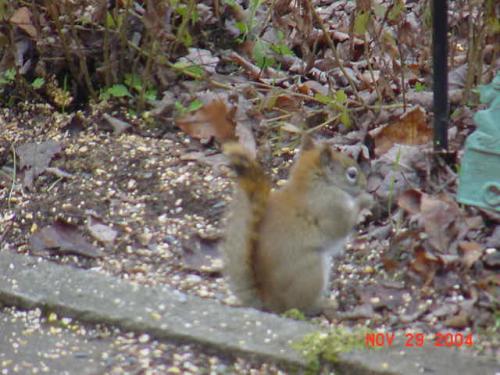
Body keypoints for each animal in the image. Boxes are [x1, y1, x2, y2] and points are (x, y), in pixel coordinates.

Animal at [221, 136, 374, 318]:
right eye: (351, 174)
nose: (365, 184)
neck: (316, 182)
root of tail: (272, 303)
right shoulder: (331, 207)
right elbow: (343, 225)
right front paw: (366, 199)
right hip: (311, 272)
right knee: (303, 306)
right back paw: (326, 304)